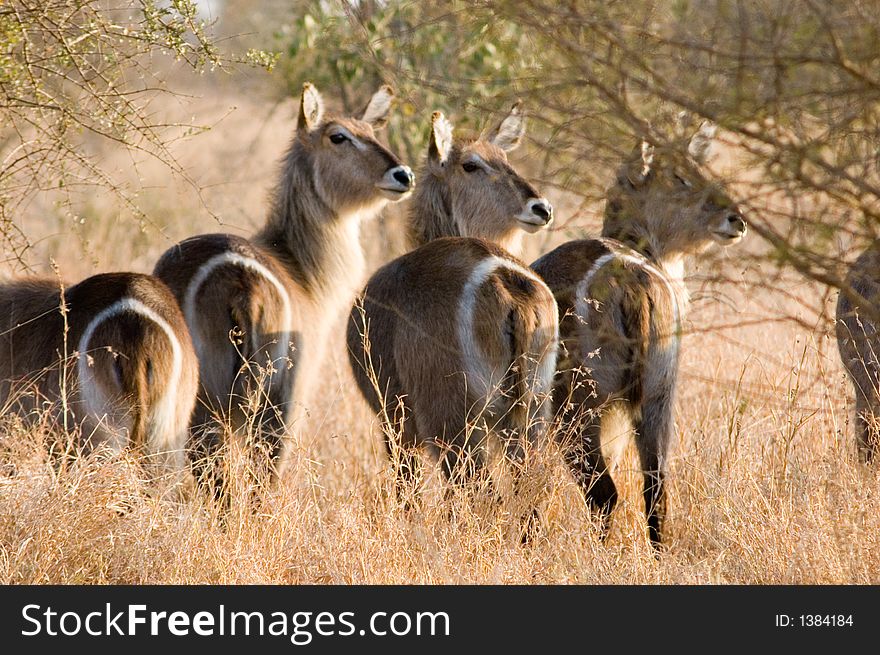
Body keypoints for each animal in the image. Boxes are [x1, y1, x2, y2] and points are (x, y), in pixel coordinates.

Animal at [153, 84, 414, 500]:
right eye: (338, 136)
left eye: (371, 132)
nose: (402, 174)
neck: (297, 266)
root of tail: (238, 279)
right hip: (266, 397)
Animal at [346, 106, 556, 512]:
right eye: (471, 165)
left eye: (505, 159)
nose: (541, 208)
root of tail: (506, 280)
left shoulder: (394, 419)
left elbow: (407, 491)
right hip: (531, 412)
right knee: (528, 490)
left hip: (453, 422)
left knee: (479, 491)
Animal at [528, 123, 748, 548]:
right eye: (679, 176)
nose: (736, 218)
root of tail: (631, 278)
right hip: (658, 394)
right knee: (655, 489)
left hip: (578, 409)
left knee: (603, 493)